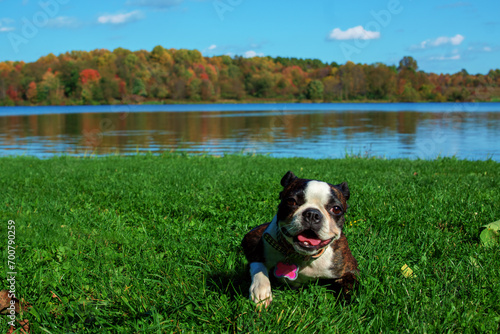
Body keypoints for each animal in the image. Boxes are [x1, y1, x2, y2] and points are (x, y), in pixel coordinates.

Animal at [241, 171, 356, 306]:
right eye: (291, 201)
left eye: (336, 209)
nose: (312, 214)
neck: (303, 256)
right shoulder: (257, 248)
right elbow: (258, 267)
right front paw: (261, 290)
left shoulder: (350, 269)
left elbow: (351, 285)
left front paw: (349, 301)